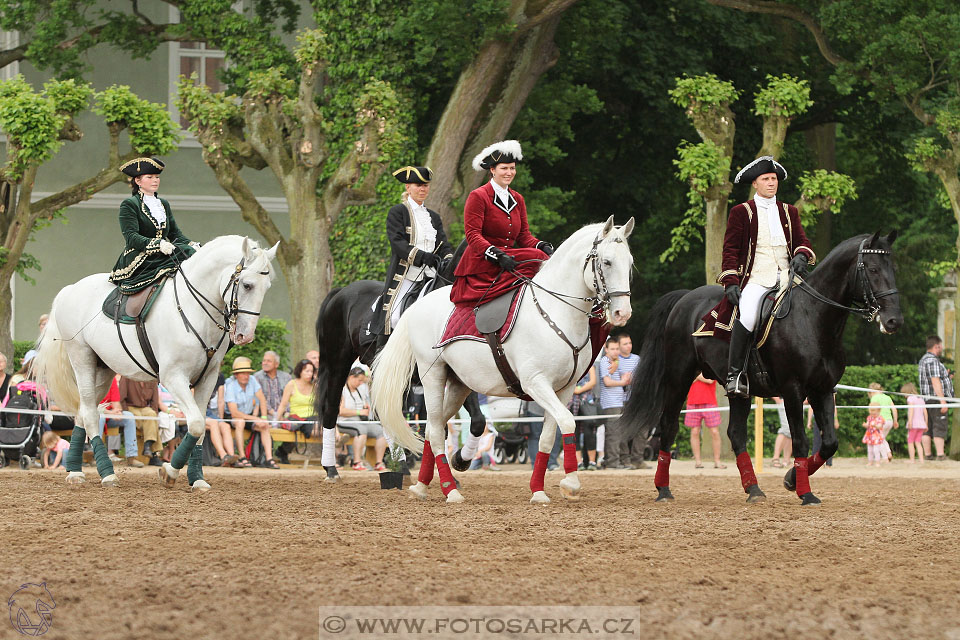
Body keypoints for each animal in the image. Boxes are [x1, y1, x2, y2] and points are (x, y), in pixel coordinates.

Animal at [35, 235, 276, 490]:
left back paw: (75, 471)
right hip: (82, 361)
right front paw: (169, 471)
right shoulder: (173, 377)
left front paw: (197, 478)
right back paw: (107, 474)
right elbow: (197, 423)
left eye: (267, 287)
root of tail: (70, 290)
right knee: (90, 415)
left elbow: (200, 427)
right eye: (247, 285)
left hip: (103, 370)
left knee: (83, 411)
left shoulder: (208, 378)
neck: (194, 309)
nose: (245, 336)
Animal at [314, 242, 484, 478]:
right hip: (339, 363)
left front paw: (459, 461)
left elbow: (475, 421)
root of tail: (341, 292)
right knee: (333, 409)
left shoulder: (458, 376)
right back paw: (333, 468)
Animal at [372, 218, 632, 502]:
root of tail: (417, 306)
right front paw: (570, 482)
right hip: (433, 377)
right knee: (437, 431)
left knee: (433, 426)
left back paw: (423, 485)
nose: (623, 312)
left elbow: (548, 437)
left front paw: (538, 490)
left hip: (459, 383)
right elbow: (567, 421)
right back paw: (451, 490)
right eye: (607, 262)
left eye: (629, 263)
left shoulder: (565, 389)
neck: (554, 313)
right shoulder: (535, 383)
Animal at [620, 231, 904, 504]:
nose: (894, 320)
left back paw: (753, 489)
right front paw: (805, 493)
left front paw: (791, 480)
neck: (812, 318)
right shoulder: (792, 390)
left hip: (738, 392)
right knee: (668, 427)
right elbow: (799, 440)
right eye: (872, 269)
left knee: (735, 434)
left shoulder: (822, 390)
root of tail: (684, 298)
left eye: (893, 268)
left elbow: (829, 443)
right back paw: (663, 489)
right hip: (678, 379)